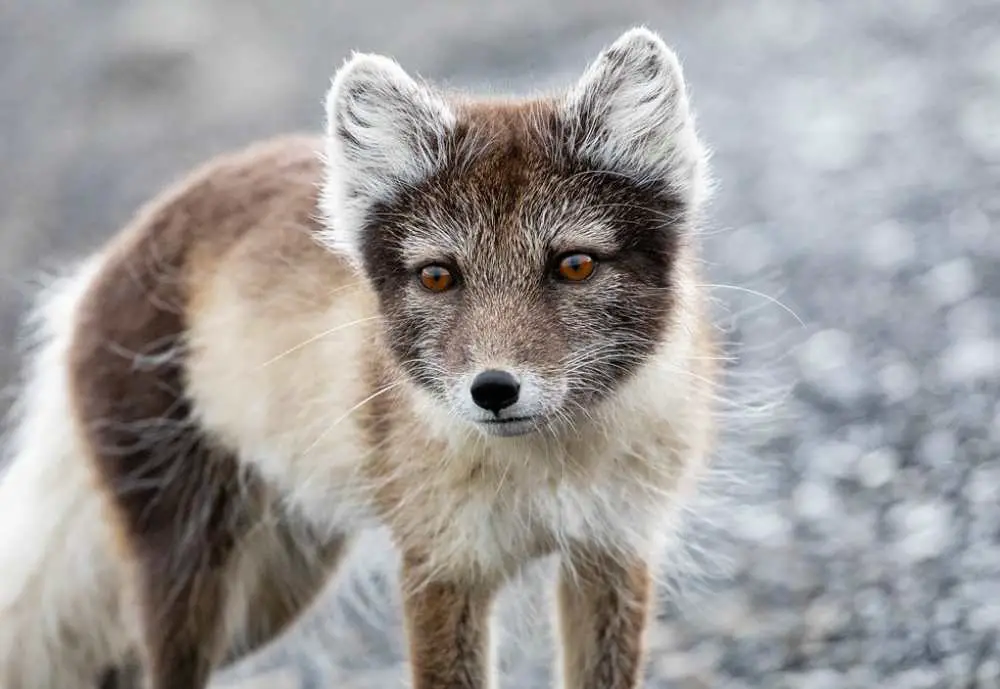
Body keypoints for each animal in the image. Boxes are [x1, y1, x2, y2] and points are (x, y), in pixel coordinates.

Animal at [0, 25, 720, 688]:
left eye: (574, 265)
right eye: (437, 276)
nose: (493, 389)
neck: (543, 471)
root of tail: (104, 260)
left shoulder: (614, 551)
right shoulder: (441, 565)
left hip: (274, 588)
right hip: (189, 565)